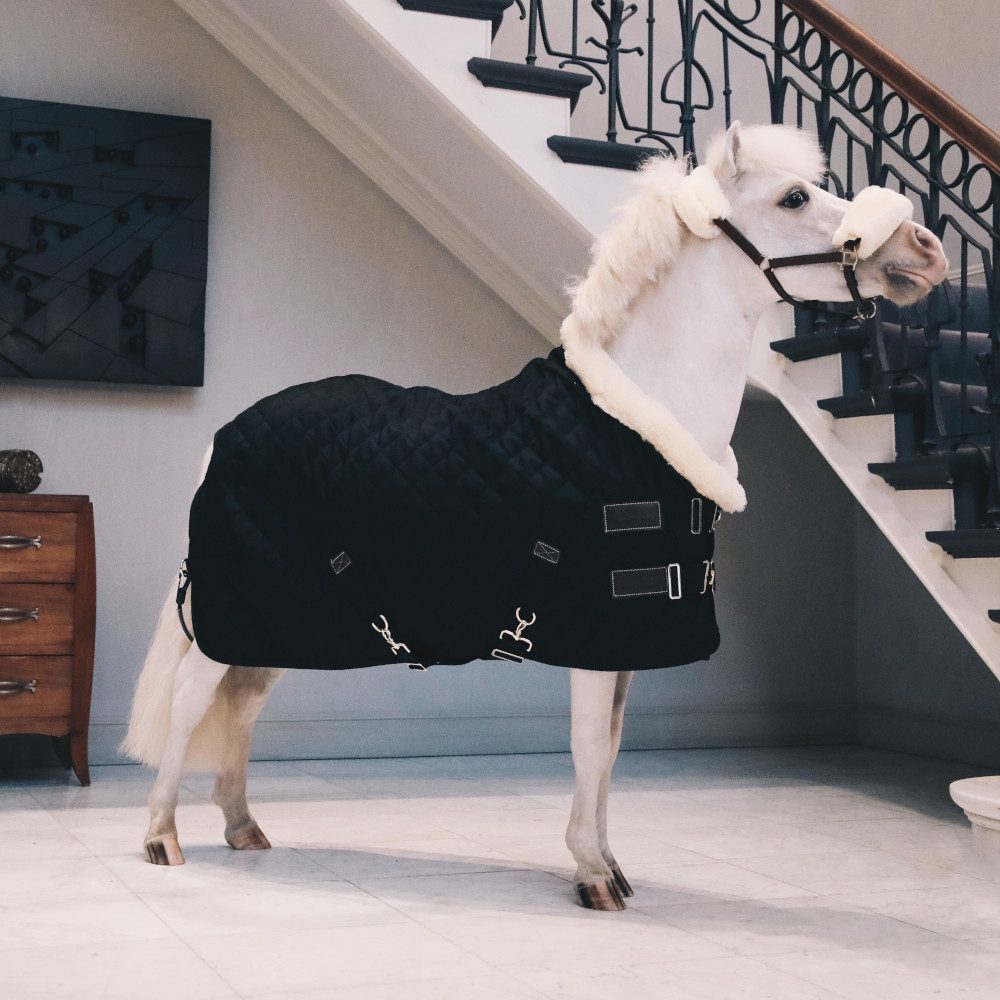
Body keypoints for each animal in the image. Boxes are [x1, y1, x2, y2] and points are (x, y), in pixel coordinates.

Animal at [122, 121, 948, 911]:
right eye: (794, 198)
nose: (926, 250)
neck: (630, 426)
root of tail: (227, 433)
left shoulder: (623, 642)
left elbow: (609, 751)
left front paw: (612, 866)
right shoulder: (592, 638)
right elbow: (588, 749)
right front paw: (592, 876)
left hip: (277, 625)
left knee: (242, 709)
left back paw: (242, 827)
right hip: (235, 617)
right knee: (190, 701)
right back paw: (162, 836)